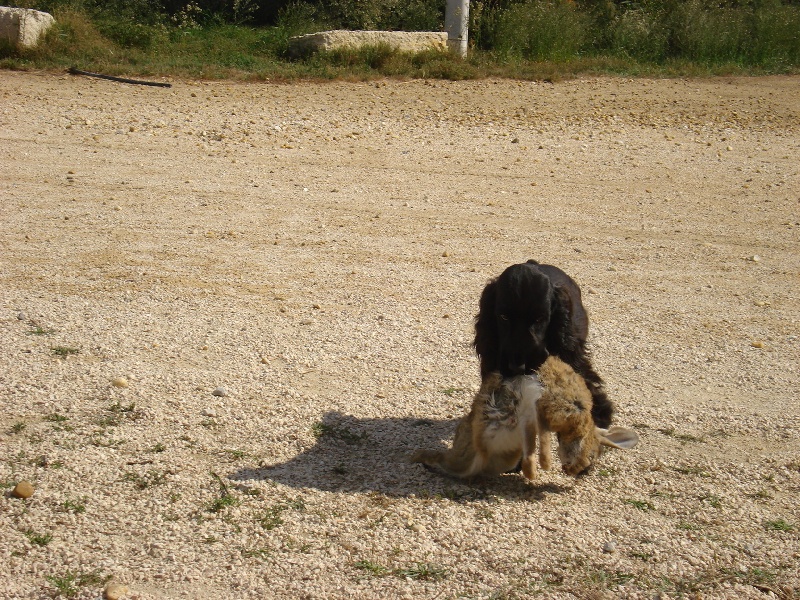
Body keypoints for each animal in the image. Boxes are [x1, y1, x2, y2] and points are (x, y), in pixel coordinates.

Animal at [412, 356, 636, 478]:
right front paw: (543, 466)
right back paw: (417, 457)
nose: (573, 471)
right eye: (591, 455)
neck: (582, 424)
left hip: (503, 454)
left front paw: (535, 470)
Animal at [472, 260, 616, 428]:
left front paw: (600, 411)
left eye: (540, 319)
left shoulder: (570, 348)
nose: (518, 367)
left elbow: (581, 371)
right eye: (503, 317)